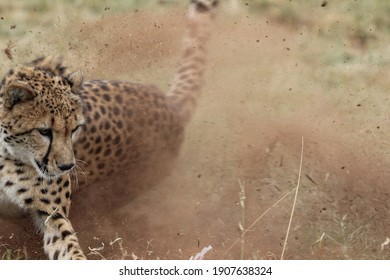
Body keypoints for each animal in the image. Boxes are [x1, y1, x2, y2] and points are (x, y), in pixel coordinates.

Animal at [0, 0, 216, 260]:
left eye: (75, 129)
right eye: (44, 131)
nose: (67, 167)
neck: (8, 153)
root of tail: (168, 105)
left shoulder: (52, 214)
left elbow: (67, 247)